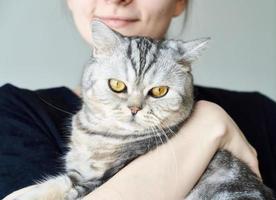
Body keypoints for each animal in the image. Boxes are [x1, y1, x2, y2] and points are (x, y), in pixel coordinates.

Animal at [10, 19, 274, 198]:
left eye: (159, 91)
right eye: (117, 85)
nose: (134, 109)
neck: (98, 136)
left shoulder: (101, 180)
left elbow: (62, 185)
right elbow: (59, 181)